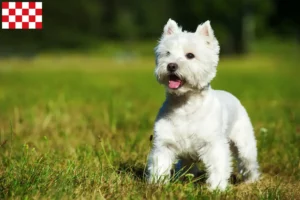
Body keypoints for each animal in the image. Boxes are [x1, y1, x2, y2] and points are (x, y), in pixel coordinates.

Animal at [148, 18, 260, 191]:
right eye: (167, 53)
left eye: (190, 55)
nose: (171, 65)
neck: (185, 106)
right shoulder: (164, 143)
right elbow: (160, 164)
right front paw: (157, 185)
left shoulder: (213, 144)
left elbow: (218, 166)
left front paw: (217, 189)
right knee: (186, 165)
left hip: (244, 144)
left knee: (249, 163)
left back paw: (251, 182)